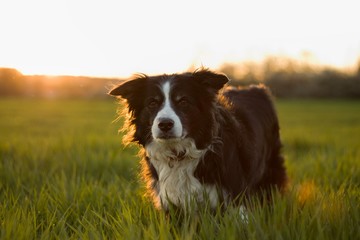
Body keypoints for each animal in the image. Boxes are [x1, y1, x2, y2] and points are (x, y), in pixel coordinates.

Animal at [108, 69, 288, 212]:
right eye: (152, 103)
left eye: (183, 101)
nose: (165, 124)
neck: (179, 153)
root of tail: (258, 89)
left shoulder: (236, 195)